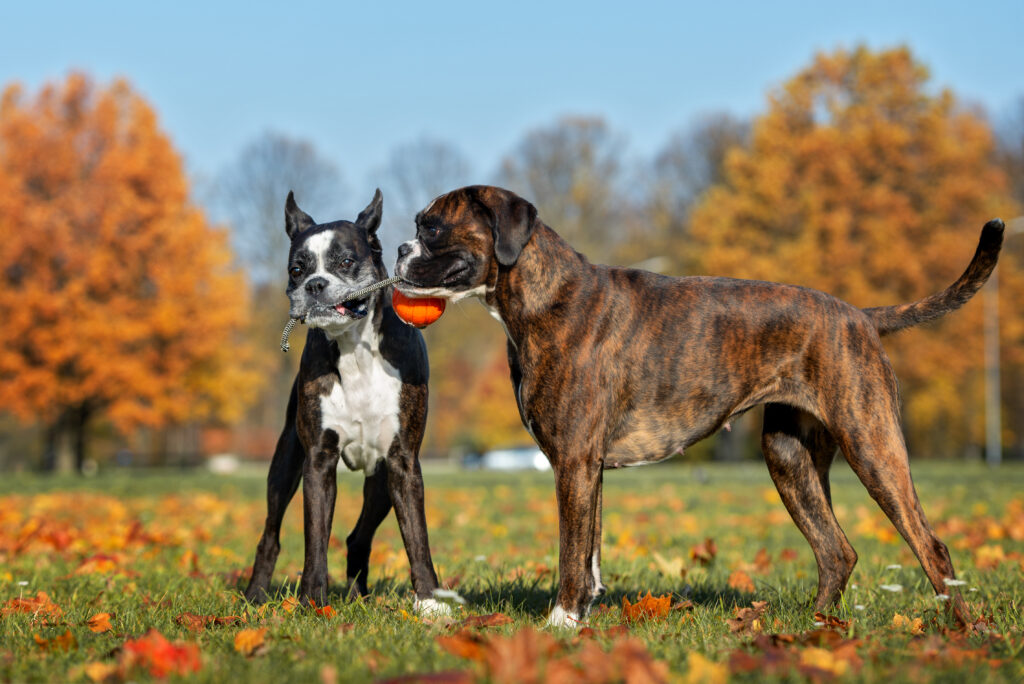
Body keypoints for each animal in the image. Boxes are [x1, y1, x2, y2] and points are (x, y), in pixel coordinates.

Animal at [245, 188, 446, 614]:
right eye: (296, 270)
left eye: (346, 262)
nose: (315, 285)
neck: (355, 349)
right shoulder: (317, 462)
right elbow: (316, 540)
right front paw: (312, 600)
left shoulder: (403, 462)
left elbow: (417, 537)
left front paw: (430, 601)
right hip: (284, 465)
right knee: (270, 534)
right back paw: (255, 595)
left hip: (381, 481)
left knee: (359, 536)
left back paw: (360, 595)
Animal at [395, 184, 1003, 626]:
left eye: (432, 227)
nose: (400, 248)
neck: (545, 295)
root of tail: (859, 315)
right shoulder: (587, 468)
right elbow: (589, 551)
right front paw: (583, 617)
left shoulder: (572, 463)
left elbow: (570, 553)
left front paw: (561, 623)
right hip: (790, 460)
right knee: (837, 552)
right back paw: (814, 630)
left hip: (872, 446)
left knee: (931, 547)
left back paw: (961, 631)